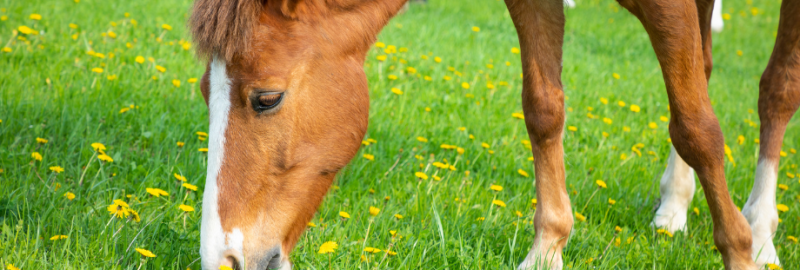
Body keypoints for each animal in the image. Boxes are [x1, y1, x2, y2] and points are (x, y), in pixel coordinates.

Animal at [189, 0, 800, 268]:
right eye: (203, 89)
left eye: (266, 98)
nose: (223, 258)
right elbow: (543, 108)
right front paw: (548, 249)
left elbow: (697, 127)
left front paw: (739, 251)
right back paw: (674, 207)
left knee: (776, 89)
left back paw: (761, 230)